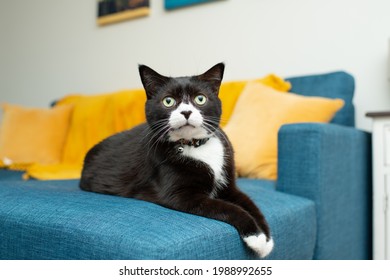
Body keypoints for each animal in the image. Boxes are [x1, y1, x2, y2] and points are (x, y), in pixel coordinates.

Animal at [79, 63, 274, 258]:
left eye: (200, 99)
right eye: (168, 101)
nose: (186, 111)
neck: (196, 146)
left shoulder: (229, 184)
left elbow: (249, 204)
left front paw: (267, 239)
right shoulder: (180, 195)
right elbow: (227, 207)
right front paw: (256, 237)